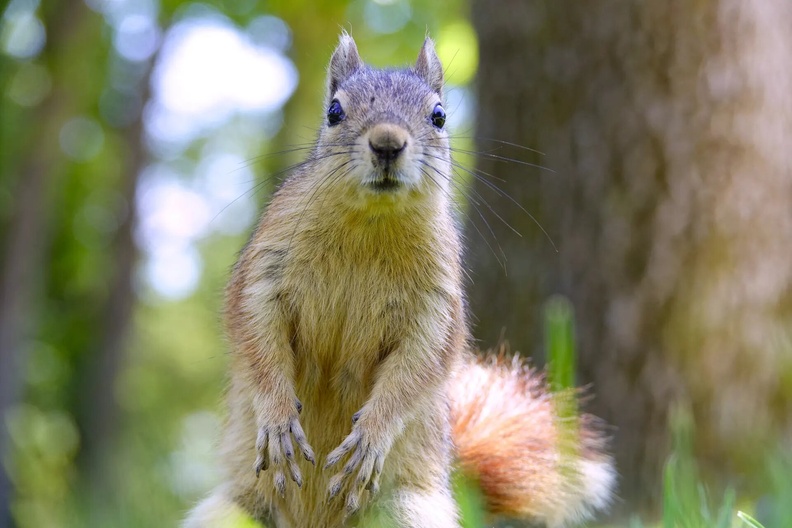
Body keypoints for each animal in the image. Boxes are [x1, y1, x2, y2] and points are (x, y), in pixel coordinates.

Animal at [183, 34, 615, 528]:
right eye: (334, 110)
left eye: (439, 115)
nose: (387, 142)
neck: (371, 225)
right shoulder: (265, 271)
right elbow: (257, 337)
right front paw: (276, 419)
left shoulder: (436, 306)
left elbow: (416, 369)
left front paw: (372, 435)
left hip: (408, 511)